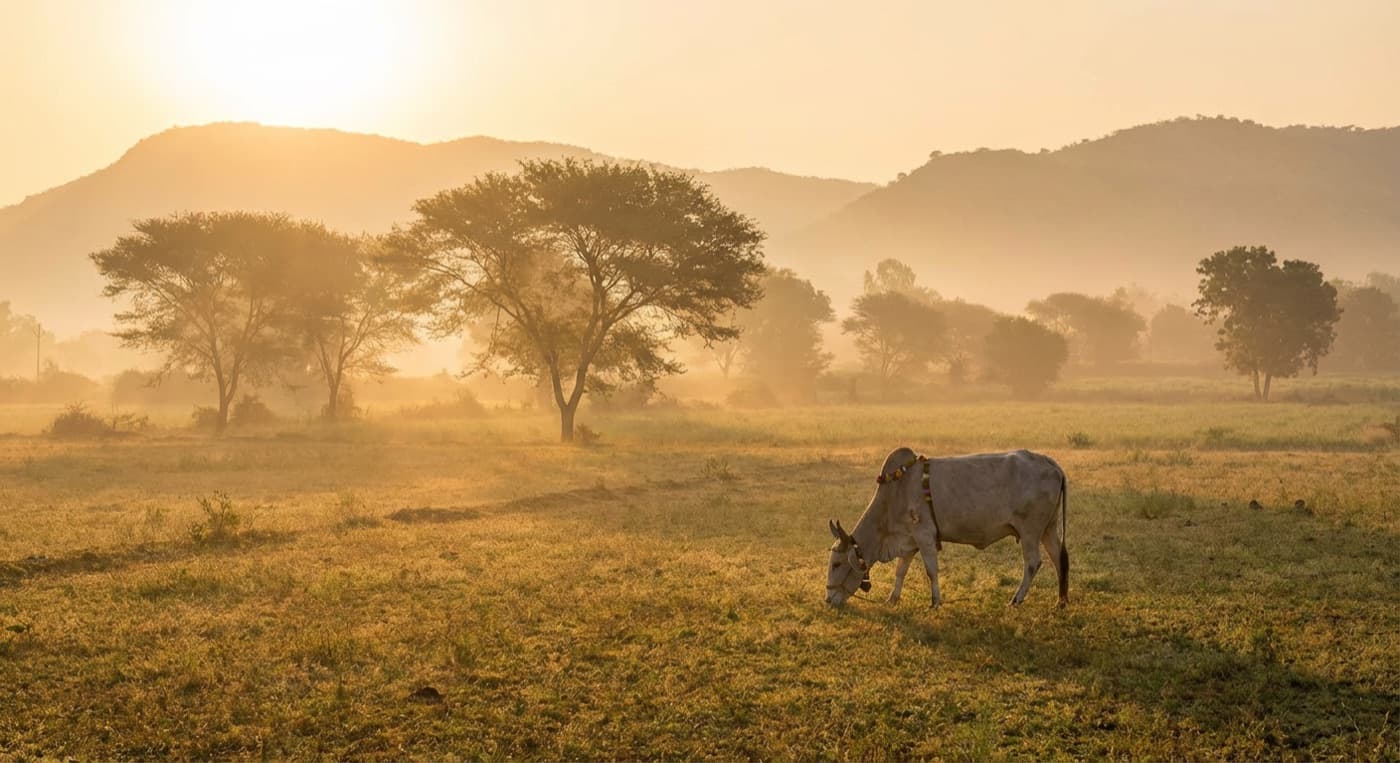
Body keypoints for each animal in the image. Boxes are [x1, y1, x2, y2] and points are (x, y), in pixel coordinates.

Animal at [825, 446, 1068, 609]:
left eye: (836, 564)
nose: (828, 599)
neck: (896, 490)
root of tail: (1051, 463)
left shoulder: (924, 535)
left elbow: (931, 570)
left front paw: (934, 602)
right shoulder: (909, 541)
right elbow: (900, 571)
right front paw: (892, 599)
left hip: (1030, 531)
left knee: (1033, 563)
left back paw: (1016, 599)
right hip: (1048, 528)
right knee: (1060, 559)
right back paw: (1061, 601)